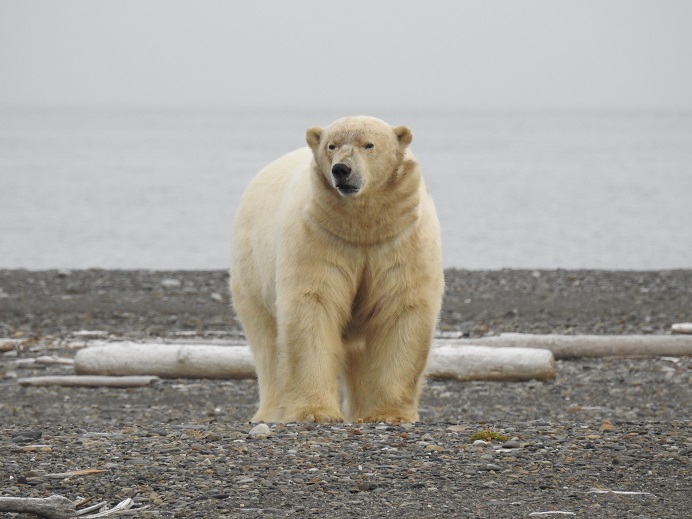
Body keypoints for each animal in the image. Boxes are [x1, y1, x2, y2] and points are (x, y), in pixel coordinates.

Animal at [230, 117, 440, 422]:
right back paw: (270, 413)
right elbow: (314, 307)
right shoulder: (319, 237)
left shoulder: (400, 239)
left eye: (368, 145)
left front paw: (389, 414)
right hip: (252, 273)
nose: (342, 169)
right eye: (332, 145)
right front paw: (316, 412)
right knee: (267, 344)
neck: (363, 227)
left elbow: (401, 309)